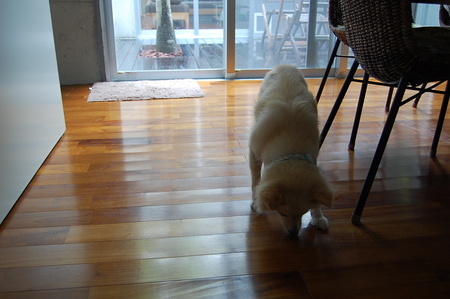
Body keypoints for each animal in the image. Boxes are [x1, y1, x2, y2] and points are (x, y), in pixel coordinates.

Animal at [250, 65, 334, 237]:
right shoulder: (254, 154)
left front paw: (318, 217)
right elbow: (255, 179)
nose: (294, 234)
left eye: (304, 212)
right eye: (283, 214)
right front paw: (255, 201)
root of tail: (285, 66)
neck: (290, 147)